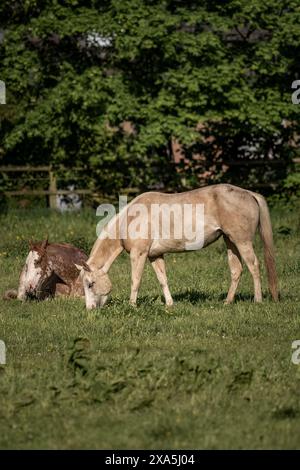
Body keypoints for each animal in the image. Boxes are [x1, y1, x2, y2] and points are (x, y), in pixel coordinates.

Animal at [75, 185, 278, 310]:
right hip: (230, 242)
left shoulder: (138, 254)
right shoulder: (155, 256)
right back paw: (227, 302)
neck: (131, 219)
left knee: (254, 266)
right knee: (237, 270)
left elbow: (135, 280)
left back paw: (258, 300)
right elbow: (163, 279)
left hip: (242, 241)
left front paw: (132, 306)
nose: (90, 309)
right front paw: (170, 304)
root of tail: (249, 194)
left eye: (90, 284)